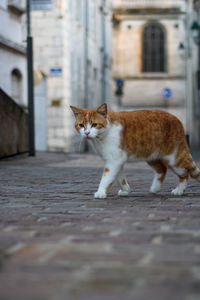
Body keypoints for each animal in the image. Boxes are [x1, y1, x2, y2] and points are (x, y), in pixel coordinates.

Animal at [69, 103, 199, 199]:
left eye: (94, 124)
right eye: (81, 125)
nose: (86, 133)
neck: (102, 136)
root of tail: (177, 120)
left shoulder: (114, 161)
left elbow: (106, 177)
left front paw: (101, 192)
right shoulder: (116, 161)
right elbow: (119, 178)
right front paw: (126, 190)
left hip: (174, 159)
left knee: (185, 173)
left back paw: (179, 190)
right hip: (151, 156)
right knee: (162, 169)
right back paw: (155, 188)